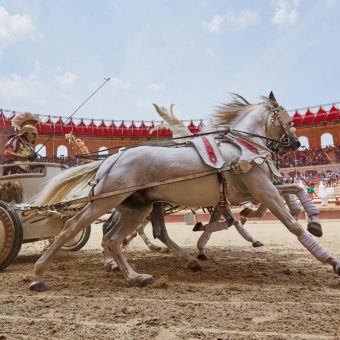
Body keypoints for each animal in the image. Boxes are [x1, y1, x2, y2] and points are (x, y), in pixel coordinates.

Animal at [29, 91, 340, 290]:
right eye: (287, 117)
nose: (295, 143)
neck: (242, 148)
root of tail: (111, 159)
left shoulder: (249, 193)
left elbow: (293, 189)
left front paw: (313, 221)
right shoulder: (262, 189)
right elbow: (291, 223)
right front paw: (329, 258)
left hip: (137, 206)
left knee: (114, 238)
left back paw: (137, 275)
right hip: (107, 202)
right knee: (73, 227)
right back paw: (38, 273)